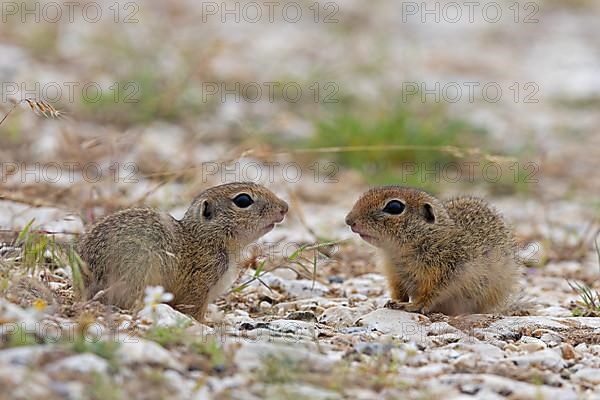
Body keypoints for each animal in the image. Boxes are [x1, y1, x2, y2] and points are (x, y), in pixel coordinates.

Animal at [344, 186, 524, 314]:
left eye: (394, 207)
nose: (349, 220)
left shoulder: (448, 273)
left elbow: (430, 295)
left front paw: (413, 306)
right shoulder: (395, 274)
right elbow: (398, 291)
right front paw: (394, 302)